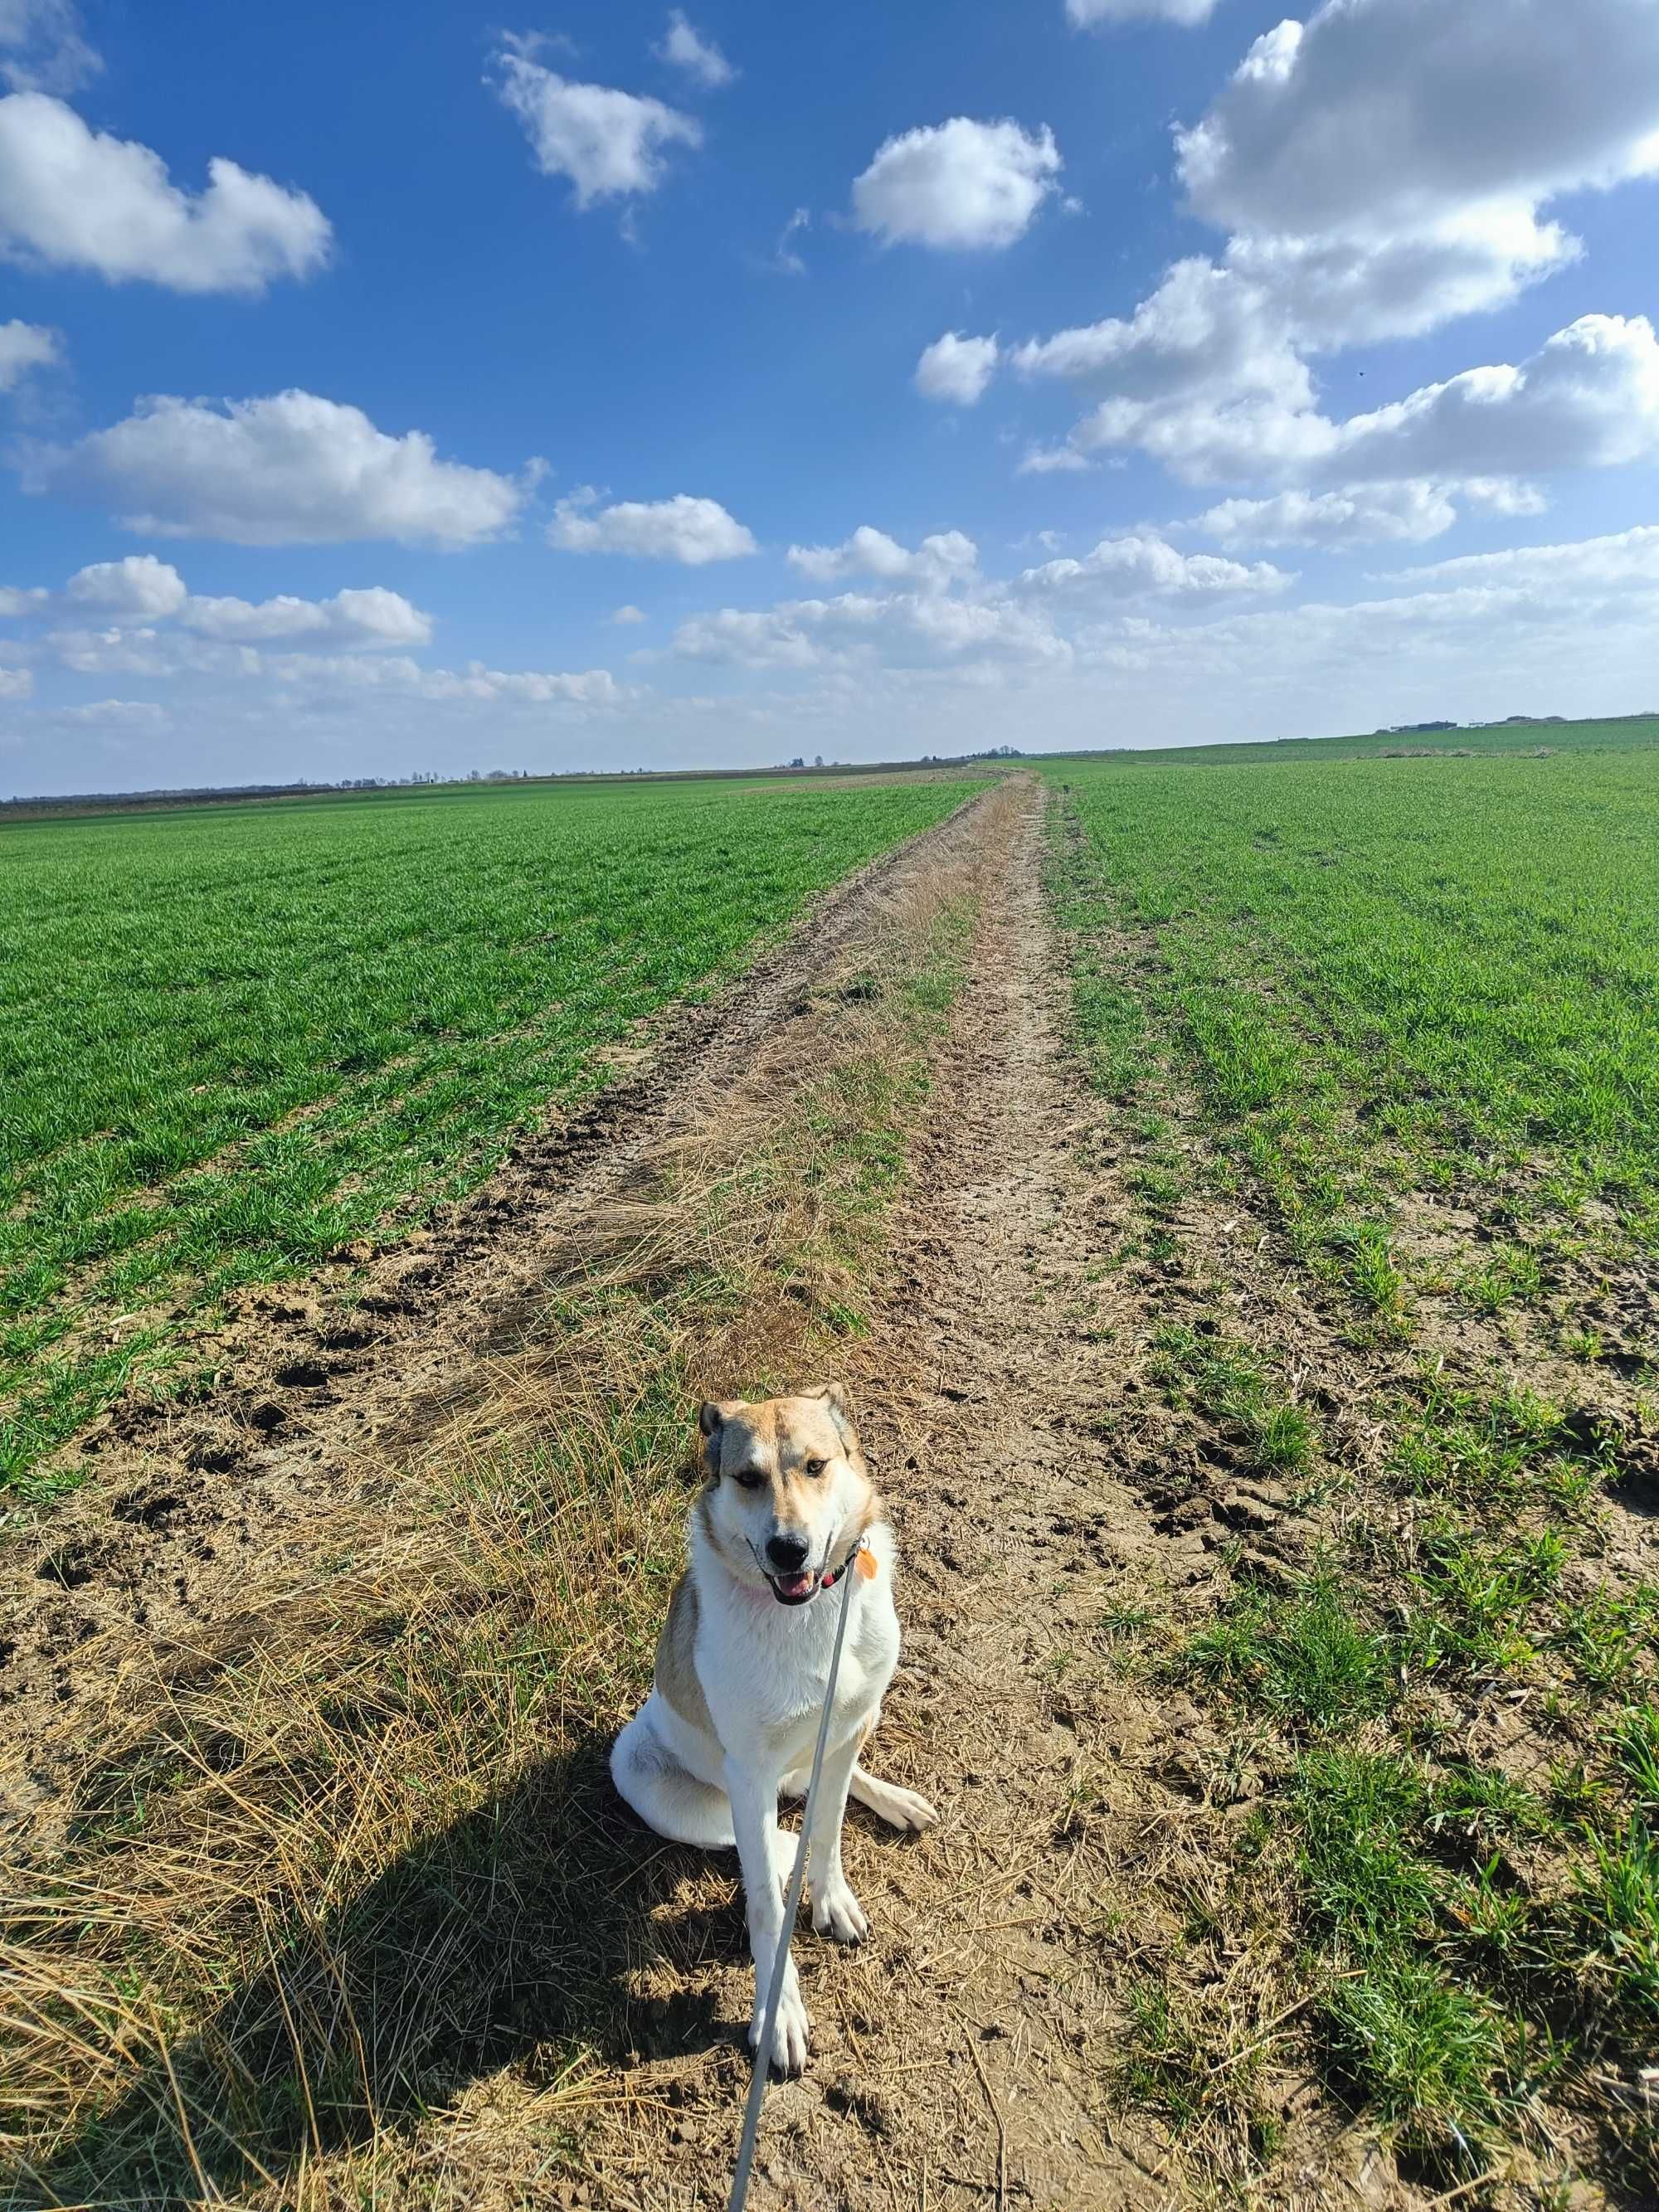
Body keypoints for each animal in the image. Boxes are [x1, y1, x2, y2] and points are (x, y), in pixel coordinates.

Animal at [615, 1380, 946, 2070]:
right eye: (747, 1477)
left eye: (816, 1465)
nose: (787, 1549)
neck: (806, 1610)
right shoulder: (749, 1774)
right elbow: (768, 1902)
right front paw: (779, 2011)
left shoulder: (845, 1728)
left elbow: (832, 1825)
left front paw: (833, 1895)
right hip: (638, 1768)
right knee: (765, 1838)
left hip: (856, 1721)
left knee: (818, 1796)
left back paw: (893, 1802)